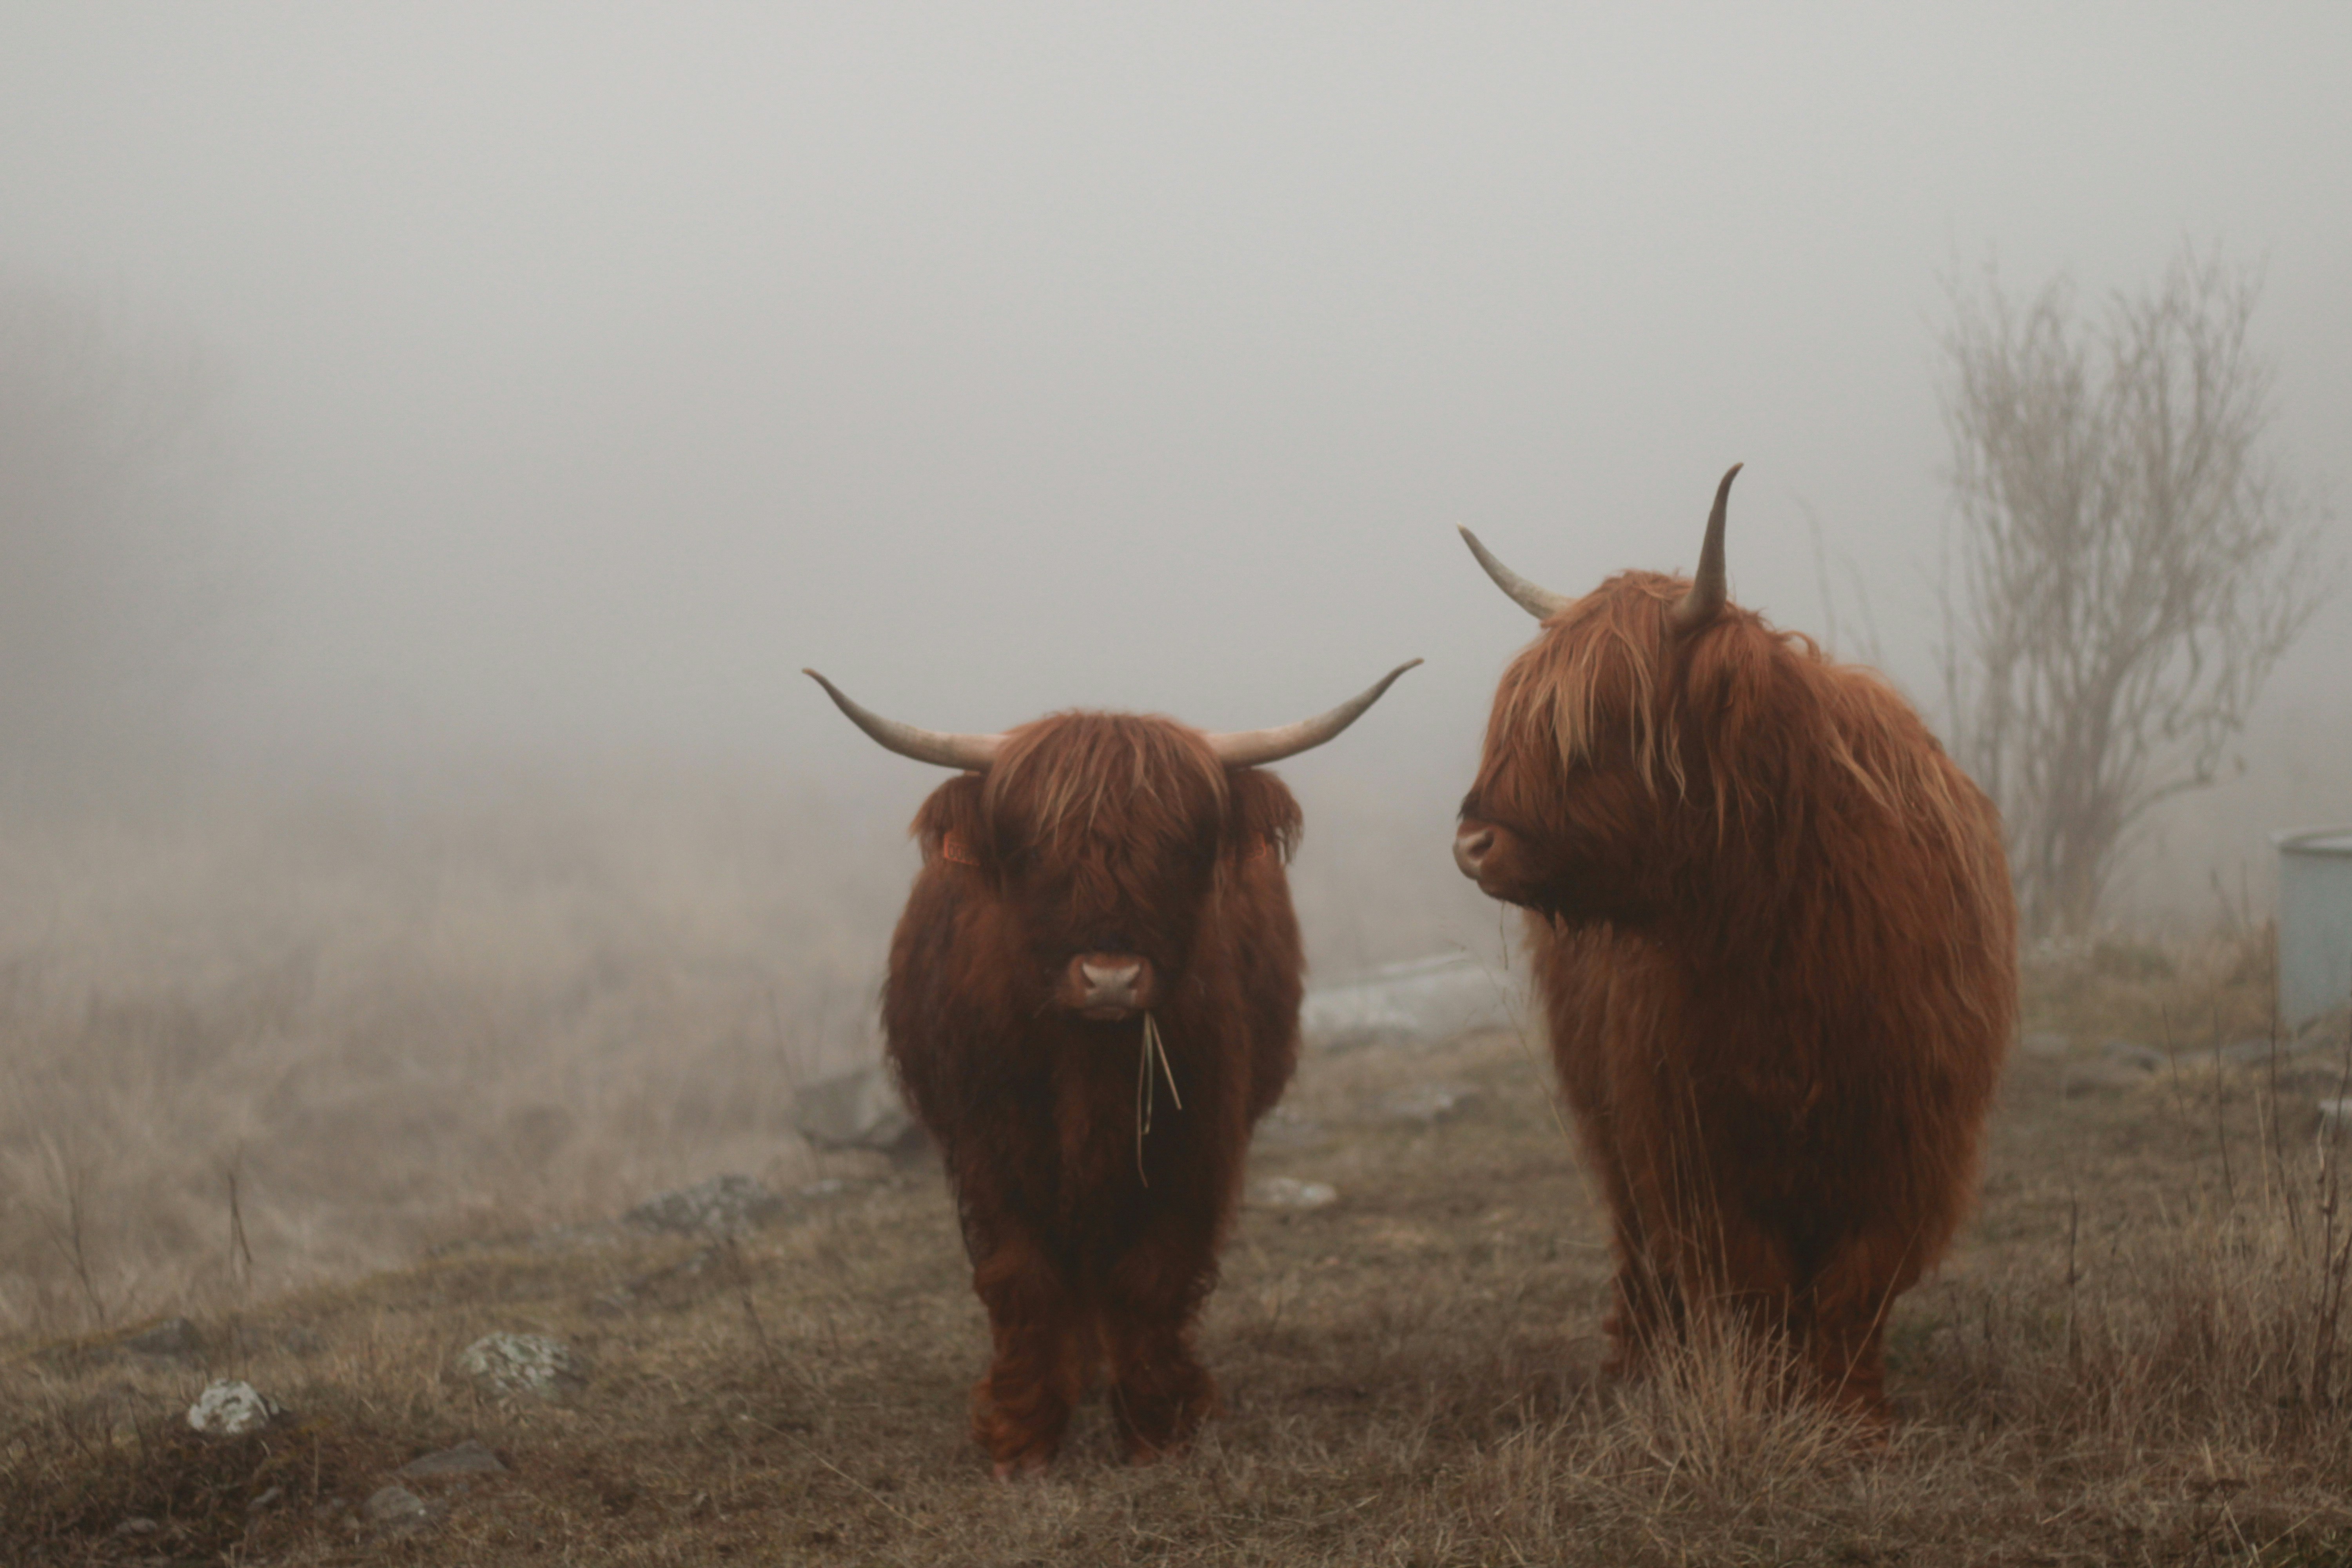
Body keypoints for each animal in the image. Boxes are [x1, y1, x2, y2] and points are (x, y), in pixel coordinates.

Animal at [814, 658, 1411, 1476]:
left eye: (1180, 850)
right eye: (1035, 852)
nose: (1110, 979)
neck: (1088, 1062)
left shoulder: (1195, 1142)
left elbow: (1150, 1275)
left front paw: (1160, 1429)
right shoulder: (990, 1148)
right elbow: (1024, 1278)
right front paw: (1023, 1438)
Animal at [1458, 470, 2013, 1420]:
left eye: (1604, 719)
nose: (1473, 842)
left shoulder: (1909, 1139)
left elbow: (1855, 1287)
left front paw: (1852, 1417)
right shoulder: (1693, 1133)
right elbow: (1756, 1283)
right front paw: (1772, 1399)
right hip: (1608, 1110)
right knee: (1639, 1244)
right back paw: (1637, 1363)